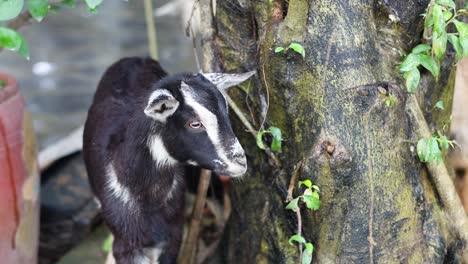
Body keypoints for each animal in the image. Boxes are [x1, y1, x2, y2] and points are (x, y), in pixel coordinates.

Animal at [82, 57, 254, 264]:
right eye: (194, 123)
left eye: (227, 114)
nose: (240, 161)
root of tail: (136, 58)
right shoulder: (127, 243)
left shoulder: (173, 234)